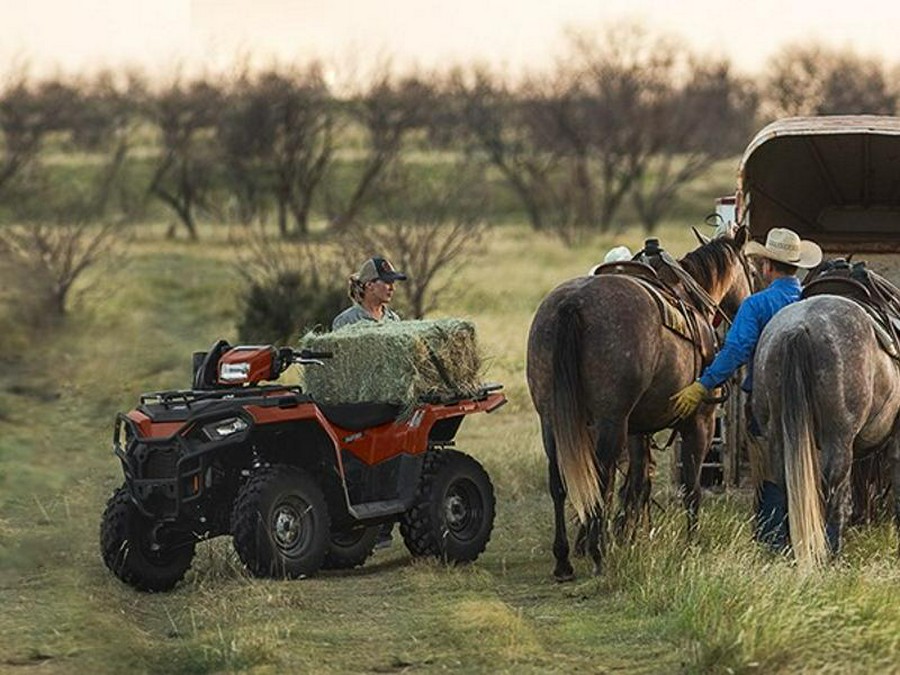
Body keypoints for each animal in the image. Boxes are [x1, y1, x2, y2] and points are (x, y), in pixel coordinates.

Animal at [528, 228, 752, 580]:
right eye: (751, 269)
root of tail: (572, 305)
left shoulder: (637, 429)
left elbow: (636, 482)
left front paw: (628, 535)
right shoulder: (698, 422)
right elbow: (690, 487)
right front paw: (691, 543)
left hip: (552, 420)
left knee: (560, 482)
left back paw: (565, 558)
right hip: (609, 421)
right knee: (599, 479)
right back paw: (597, 553)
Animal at [752, 294, 900, 568]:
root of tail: (799, 327)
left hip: (778, 435)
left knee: (789, 487)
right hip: (838, 439)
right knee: (829, 492)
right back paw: (828, 552)